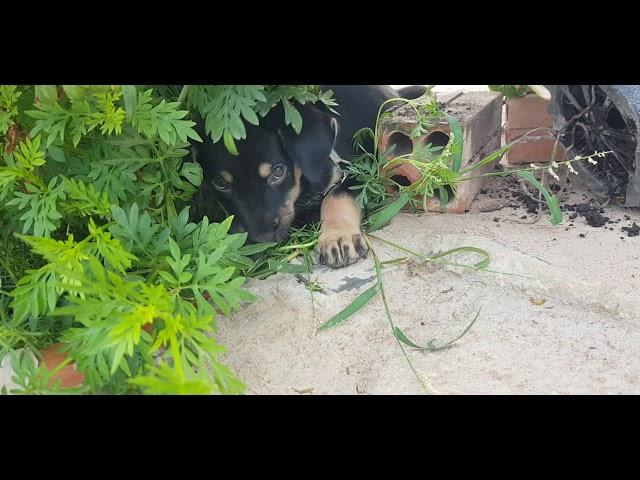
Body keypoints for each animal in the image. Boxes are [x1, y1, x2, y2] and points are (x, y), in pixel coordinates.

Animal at [192, 85, 428, 268]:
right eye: (220, 183)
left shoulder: (364, 170)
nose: (262, 240)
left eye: (278, 171)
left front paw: (338, 237)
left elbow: (336, 196)